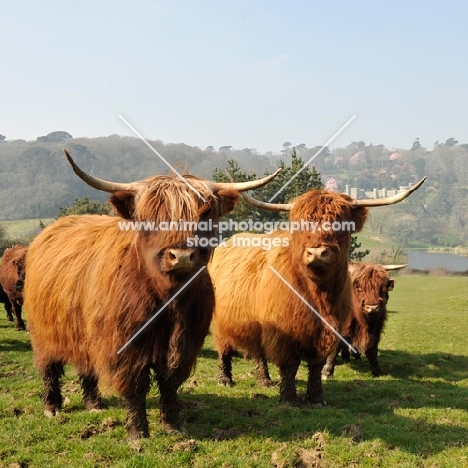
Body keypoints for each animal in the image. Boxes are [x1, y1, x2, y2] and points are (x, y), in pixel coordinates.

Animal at [23, 150, 280, 438]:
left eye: (204, 215)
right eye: (152, 216)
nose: (181, 256)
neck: (169, 300)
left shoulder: (186, 341)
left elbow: (169, 381)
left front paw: (173, 424)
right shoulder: (126, 343)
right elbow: (135, 385)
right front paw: (138, 432)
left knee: (86, 365)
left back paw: (94, 403)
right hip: (44, 332)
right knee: (49, 367)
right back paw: (52, 406)